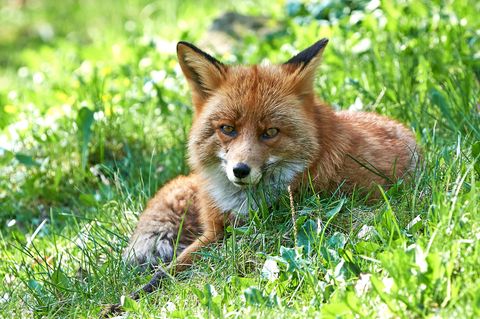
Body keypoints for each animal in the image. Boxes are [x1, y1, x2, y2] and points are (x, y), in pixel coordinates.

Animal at [114, 38, 418, 308]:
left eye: (270, 132)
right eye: (228, 129)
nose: (240, 170)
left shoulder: (246, 234)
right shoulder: (213, 231)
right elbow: (163, 273)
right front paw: (123, 303)